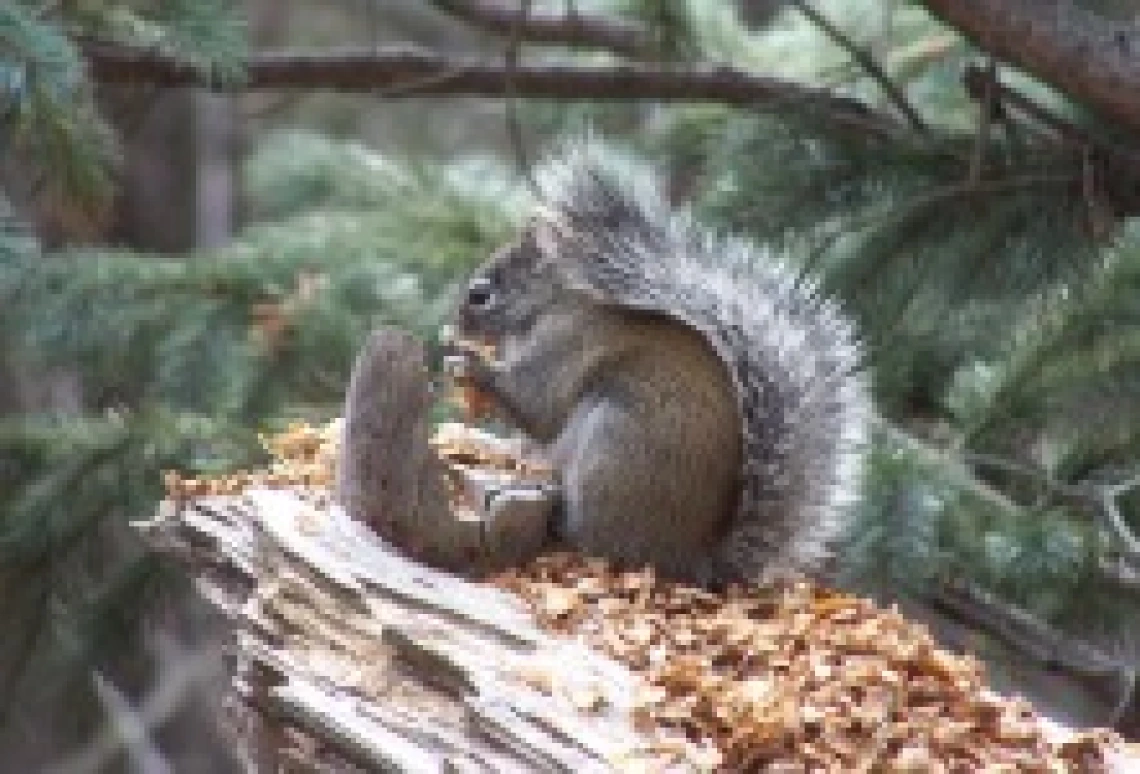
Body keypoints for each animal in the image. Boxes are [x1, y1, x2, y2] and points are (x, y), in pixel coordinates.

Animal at [449, 139, 866, 588]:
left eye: (481, 295)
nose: (456, 324)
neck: (552, 306)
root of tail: (691, 560)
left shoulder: (567, 346)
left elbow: (537, 403)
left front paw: (468, 364)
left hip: (612, 448)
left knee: (595, 540)